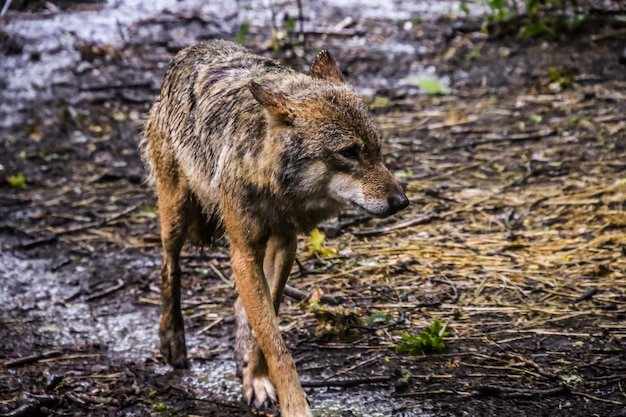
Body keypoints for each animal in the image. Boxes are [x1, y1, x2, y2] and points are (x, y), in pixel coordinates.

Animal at [140, 39, 410, 416]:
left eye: (376, 150)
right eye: (349, 153)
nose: (401, 201)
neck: (278, 188)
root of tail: (194, 47)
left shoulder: (284, 243)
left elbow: (264, 329)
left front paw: (255, 380)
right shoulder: (243, 251)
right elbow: (275, 343)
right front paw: (295, 405)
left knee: (239, 305)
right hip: (176, 214)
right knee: (169, 267)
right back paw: (173, 343)